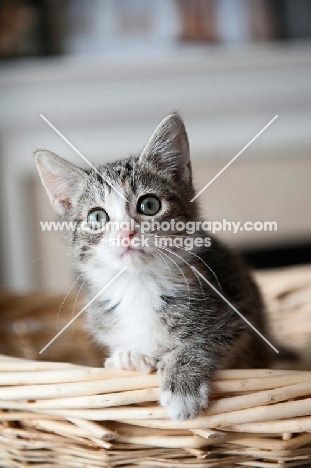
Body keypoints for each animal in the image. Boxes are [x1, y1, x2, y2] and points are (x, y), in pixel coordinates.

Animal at [35, 112, 272, 420]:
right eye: (97, 217)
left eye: (149, 205)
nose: (127, 233)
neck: (140, 285)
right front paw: (128, 357)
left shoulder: (239, 314)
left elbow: (203, 341)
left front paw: (182, 388)